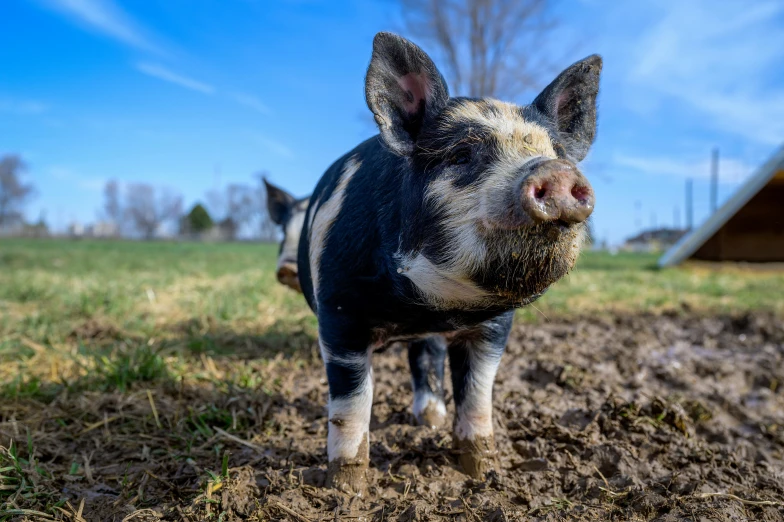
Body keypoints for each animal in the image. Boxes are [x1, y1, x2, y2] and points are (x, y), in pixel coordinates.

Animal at [298, 33, 600, 492]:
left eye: (557, 152)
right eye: (461, 154)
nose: (557, 171)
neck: (426, 305)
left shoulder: (493, 327)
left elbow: (477, 396)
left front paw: (482, 472)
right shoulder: (338, 310)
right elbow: (352, 403)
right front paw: (347, 488)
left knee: (425, 356)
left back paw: (431, 419)